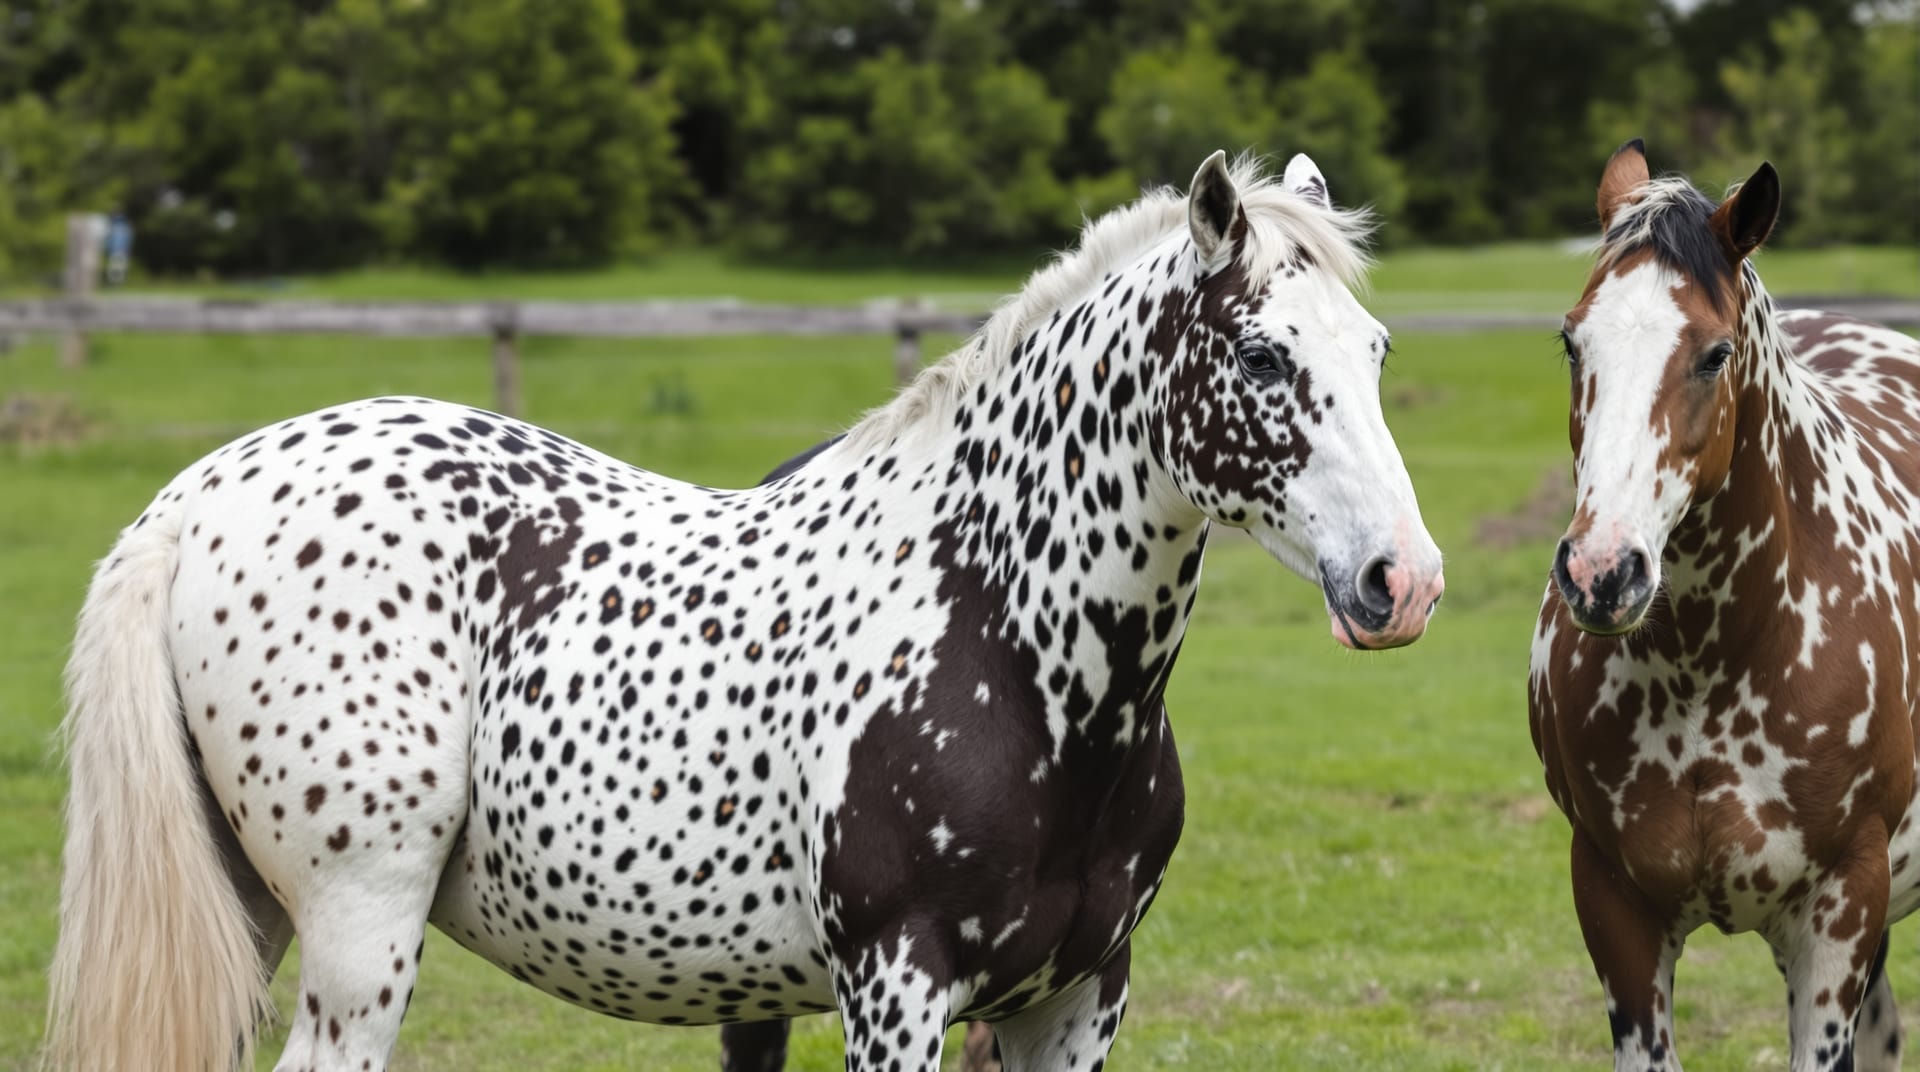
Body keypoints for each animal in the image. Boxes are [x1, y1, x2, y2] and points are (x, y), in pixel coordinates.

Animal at [44, 150, 1445, 1072]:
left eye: (1376, 351)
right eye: (1261, 354)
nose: (1403, 581)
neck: (1004, 647)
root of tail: (197, 500)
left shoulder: (1075, 1000)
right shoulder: (897, 990)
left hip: (255, 918)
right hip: (356, 935)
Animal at [1530, 139, 1920, 1072]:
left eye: (1713, 355)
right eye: (1571, 341)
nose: (1603, 573)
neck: (1717, 659)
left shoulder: (1841, 909)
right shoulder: (1615, 909)